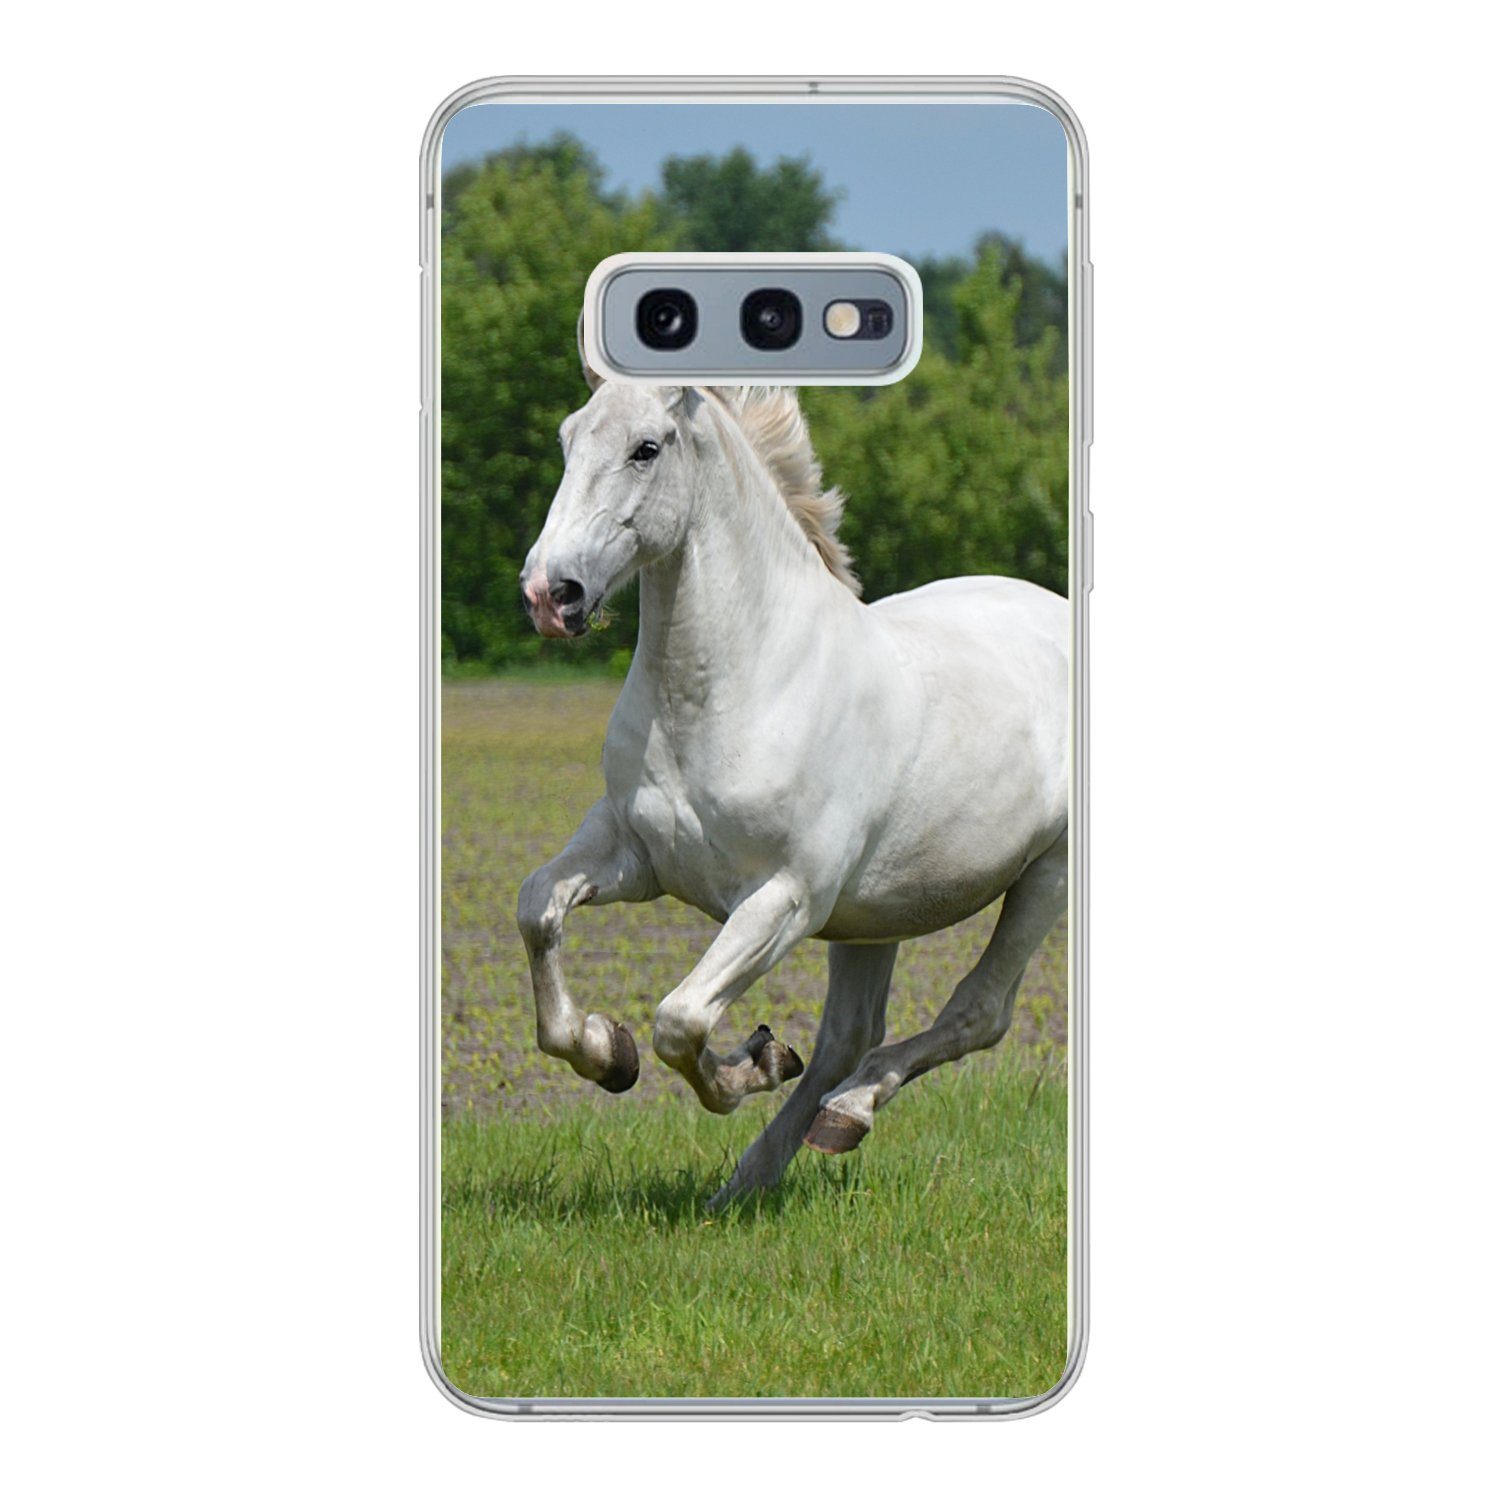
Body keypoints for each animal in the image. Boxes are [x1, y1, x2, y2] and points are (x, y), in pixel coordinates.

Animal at [516, 358, 1069, 1207]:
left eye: (647, 448)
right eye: (568, 438)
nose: (552, 594)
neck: (738, 688)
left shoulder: (786, 897)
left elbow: (681, 1020)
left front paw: (754, 1062)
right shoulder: (632, 856)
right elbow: (538, 911)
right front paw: (608, 1053)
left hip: (1045, 876)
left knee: (978, 1014)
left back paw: (847, 1112)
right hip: (878, 913)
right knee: (851, 1034)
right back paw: (749, 1181)